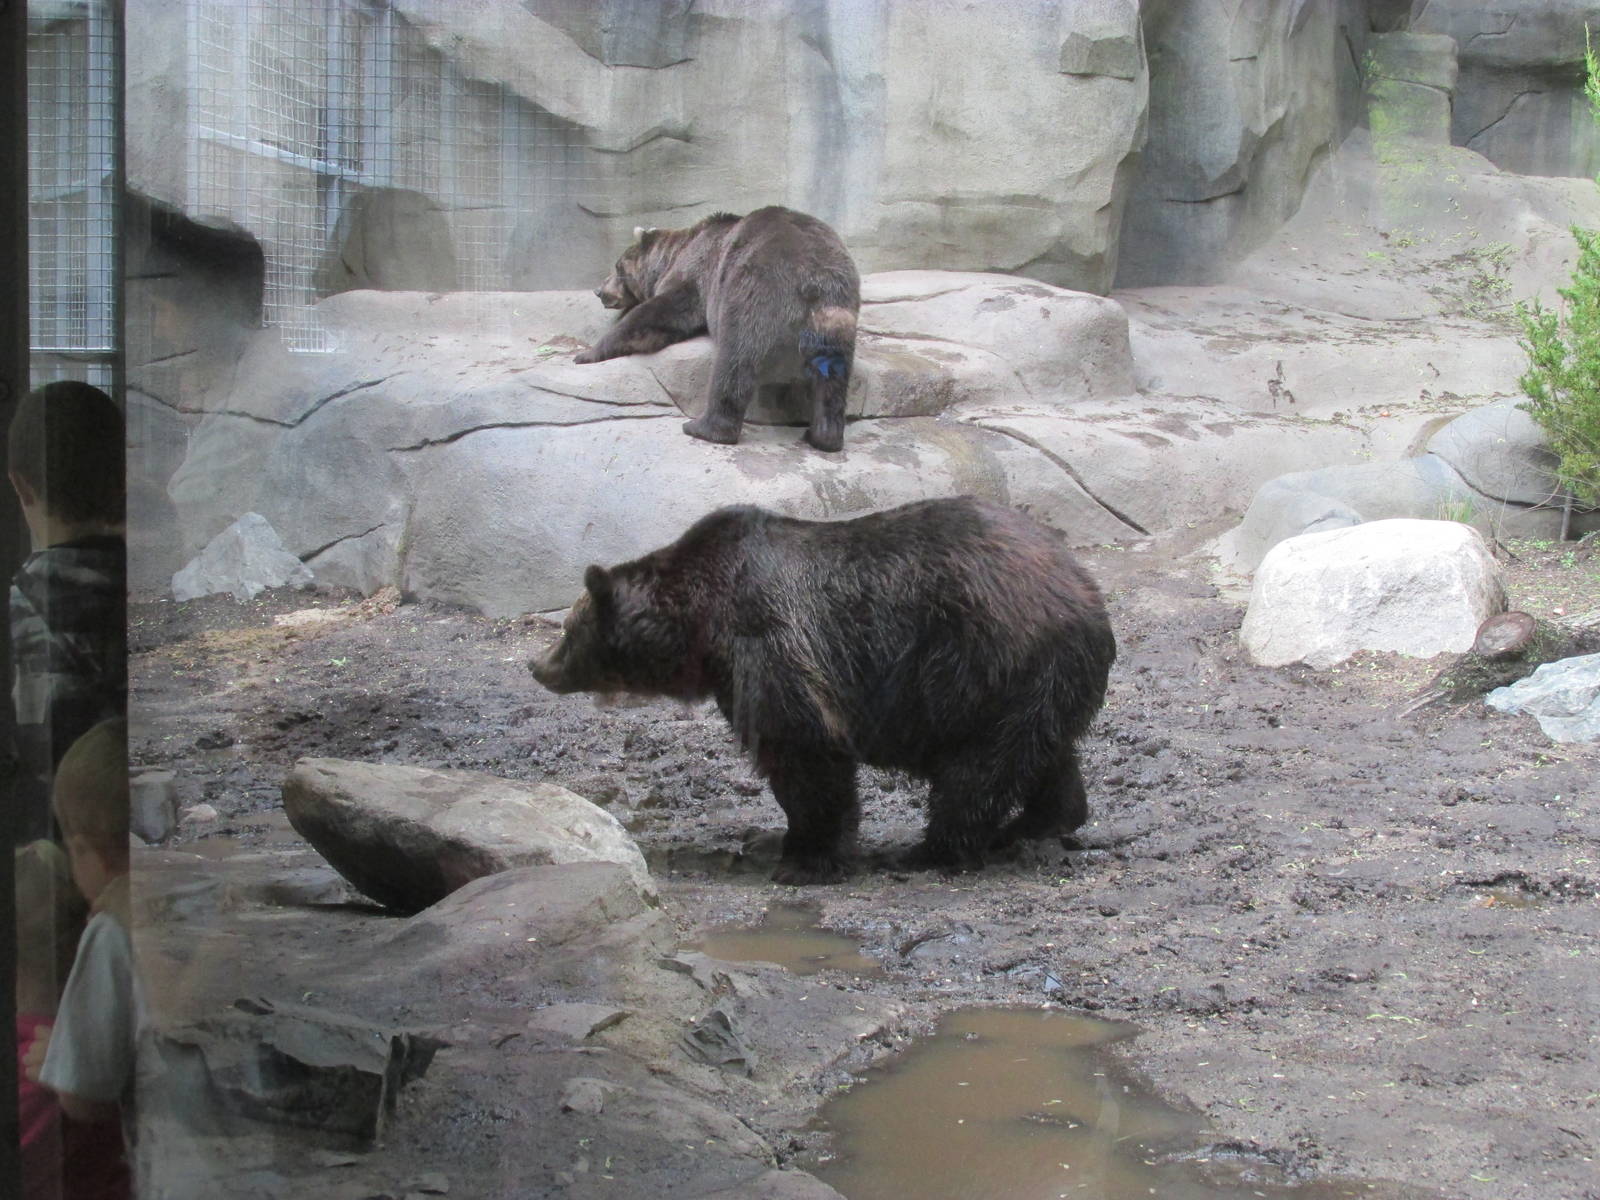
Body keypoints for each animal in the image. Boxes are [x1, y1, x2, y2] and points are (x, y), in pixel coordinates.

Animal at [528, 496, 1116, 885]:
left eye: (568, 629)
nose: (537, 665)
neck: (700, 624)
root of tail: (1085, 589)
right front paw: (786, 841)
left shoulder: (771, 646)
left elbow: (803, 751)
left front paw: (807, 856)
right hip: (1031, 684)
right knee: (1042, 753)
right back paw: (1039, 822)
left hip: (986, 661)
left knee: (977, 769)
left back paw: (936, 849)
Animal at [572, 206, 860, 452]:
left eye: (617, 265)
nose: (599, 290)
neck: (674, 253)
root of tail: (814, 279)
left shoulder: (696, 275)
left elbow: (659, 313)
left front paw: (586, 354)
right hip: (838, 315)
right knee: (833, 378)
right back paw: (822, 436)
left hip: (751, 289)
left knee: (735, 357)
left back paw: (702, 427)